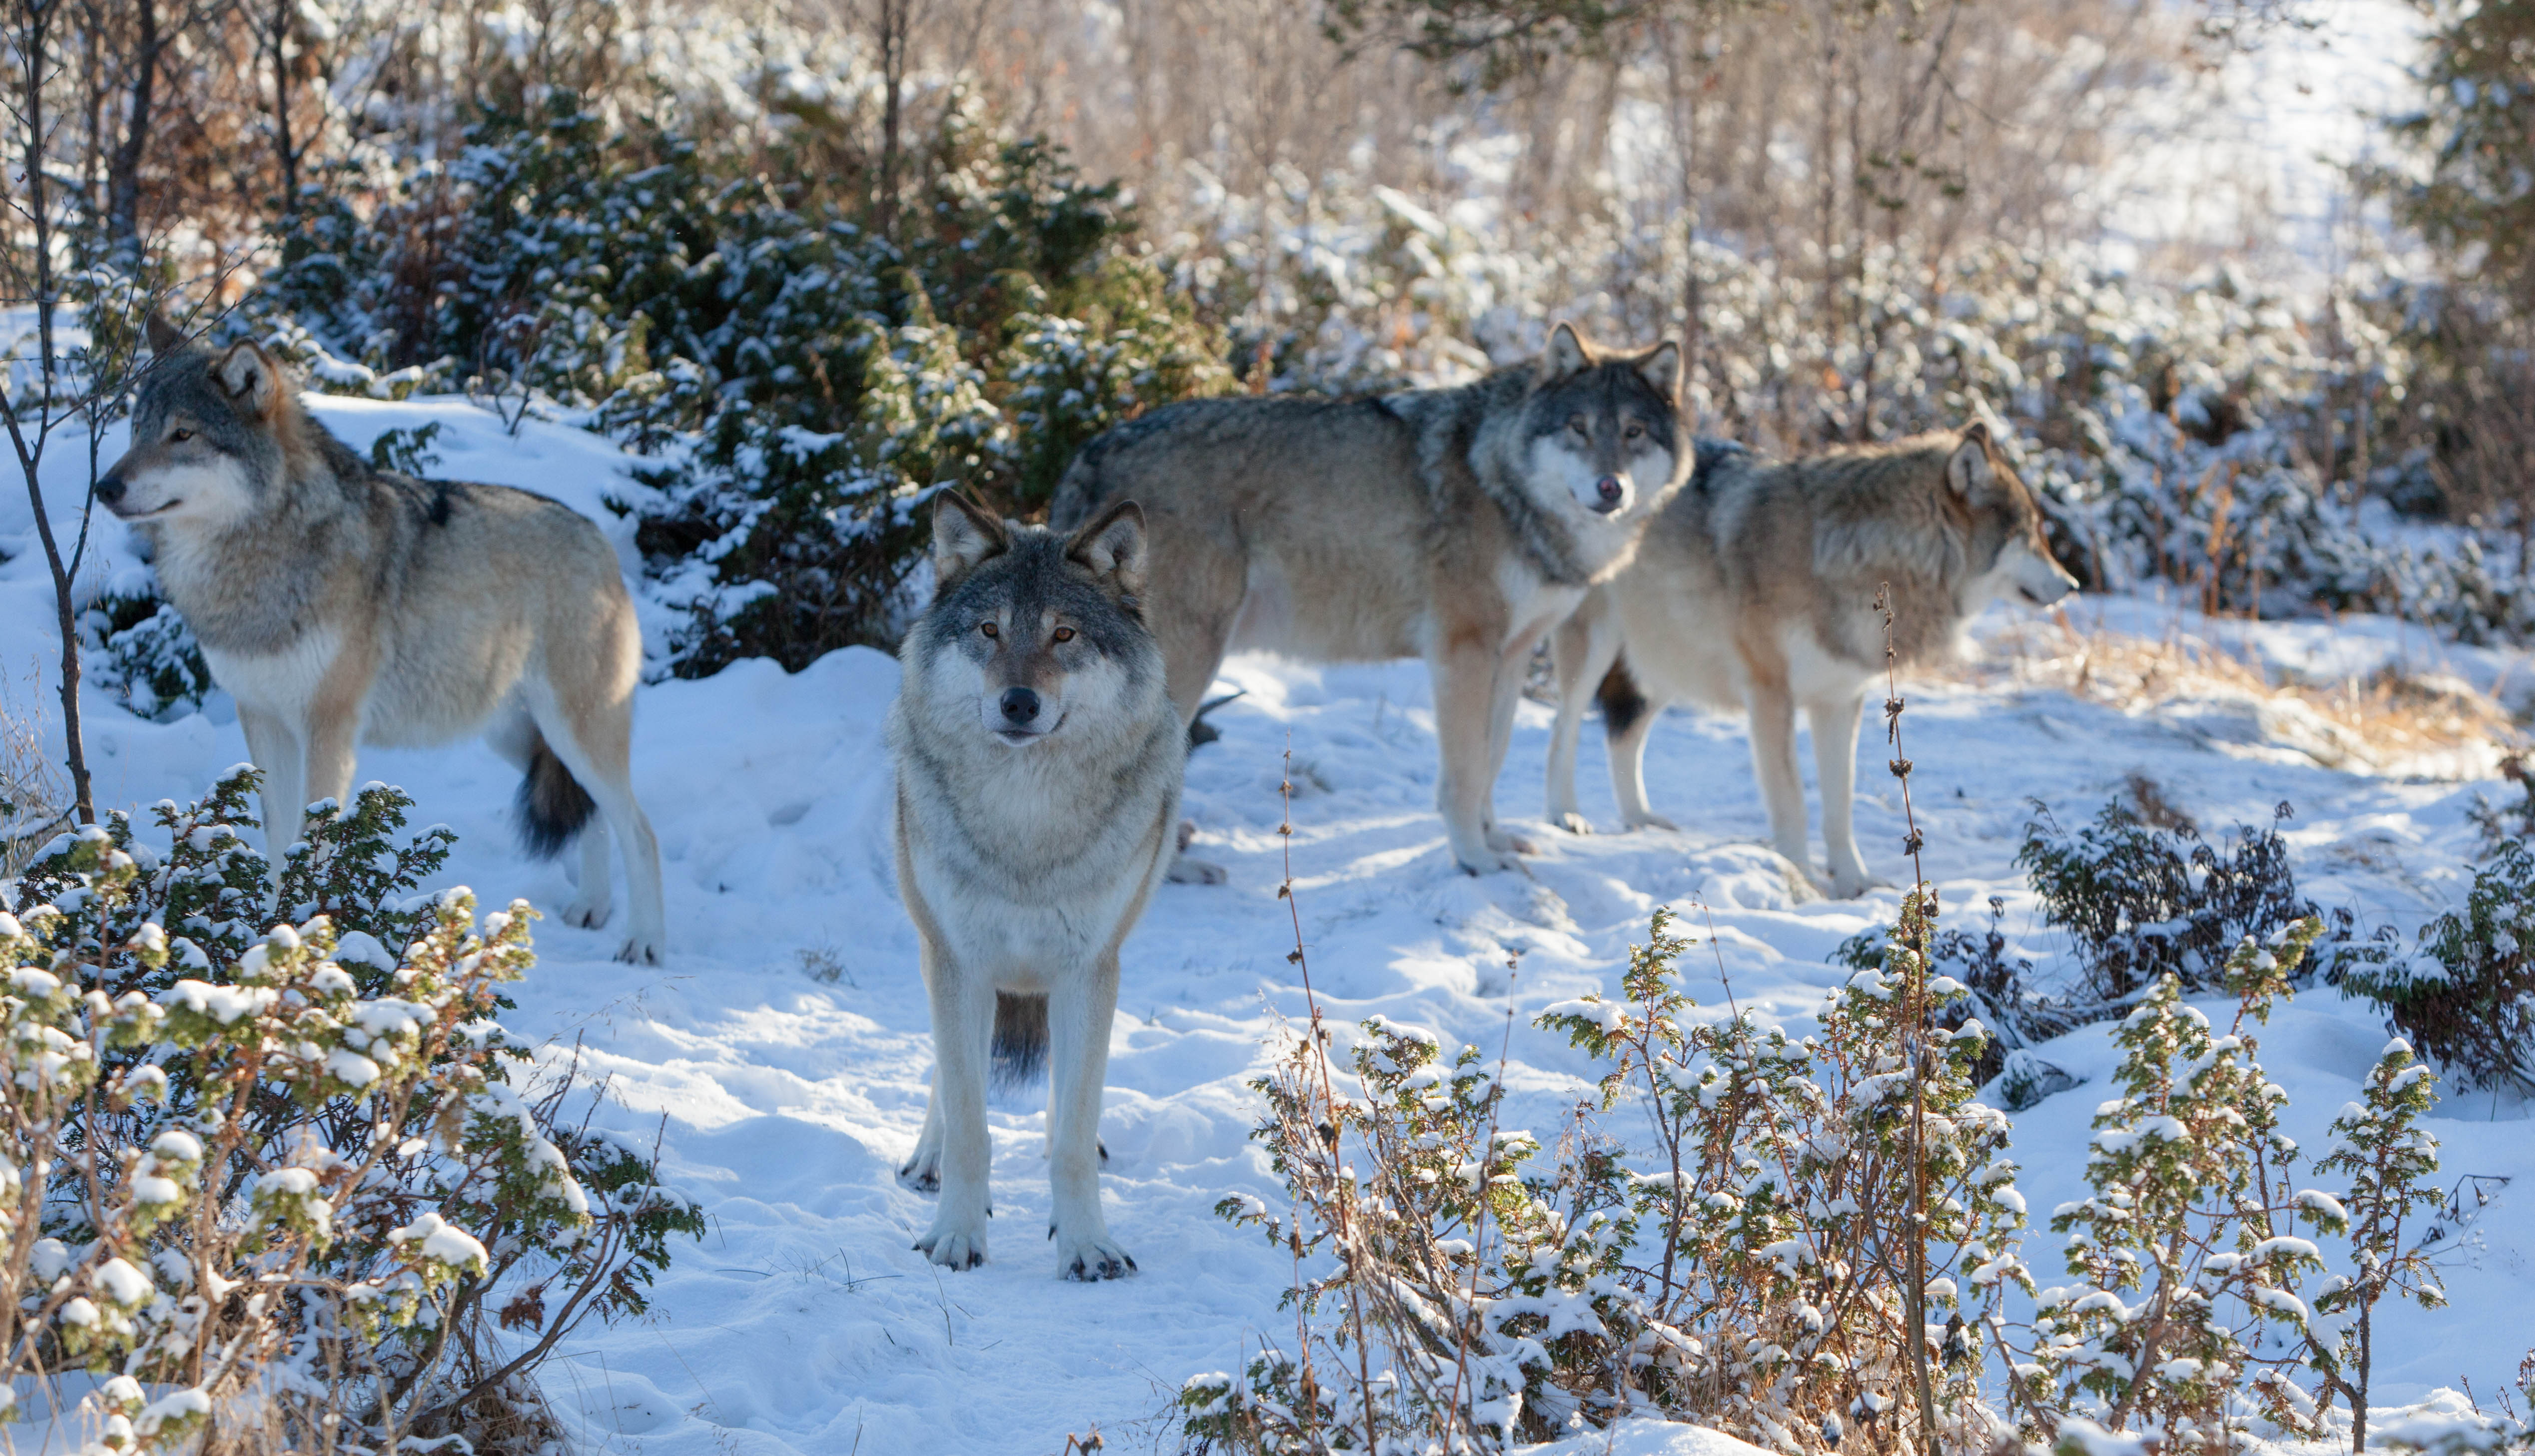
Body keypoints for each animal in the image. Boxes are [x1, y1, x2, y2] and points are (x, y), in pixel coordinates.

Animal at [104, 314, 669, 964]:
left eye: (183, 434)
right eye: (136, 430)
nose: (105, 487)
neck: (261, 559)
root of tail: (599, 537)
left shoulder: (329, 726)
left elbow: (312, 843)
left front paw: (305, 939)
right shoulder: (263, 719)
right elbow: (277, 842)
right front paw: (269, 938)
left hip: (574, 730)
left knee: (640, 828)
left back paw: (644, 942)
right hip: (519, 736)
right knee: (592, 816)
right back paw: (591, 909)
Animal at [887, 492, 1171, 1278]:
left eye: (1064, 633)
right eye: (989, 630)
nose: (1018, 702)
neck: (1026, 827)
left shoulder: (1089, 968)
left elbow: (1073, 1131)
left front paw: (1087, 1244)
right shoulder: (957, 960)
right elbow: (970, 1124)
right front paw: (955, 1236)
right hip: (931, 944)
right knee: (947, 1080)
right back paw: (925, 1158)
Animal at [1059, 322, 1693, 878]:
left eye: (1634, 432)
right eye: (1578, 427)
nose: (1611, 488)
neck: (1501, 481)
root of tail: (1094, 447)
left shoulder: (1510, 658)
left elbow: (1493, 759)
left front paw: (1495, 840)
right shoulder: (1462, 652)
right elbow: (1465, 773)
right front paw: (1475, 860)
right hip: (1193, 657)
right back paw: (1175, 871)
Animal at [1541, 421, 2078, 903]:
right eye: (2030, 534)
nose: (2073, 584)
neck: (1847, 555)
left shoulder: (1840, 700)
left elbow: (1839, 806)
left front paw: (1854, 882)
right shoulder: (1769, 695)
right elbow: (1793, 801)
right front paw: (1800, 879)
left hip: (1664, 662)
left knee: (1623, 737)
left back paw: (1640, 820)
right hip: (1597, 646)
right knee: (1564, 726)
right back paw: (1564, 817)